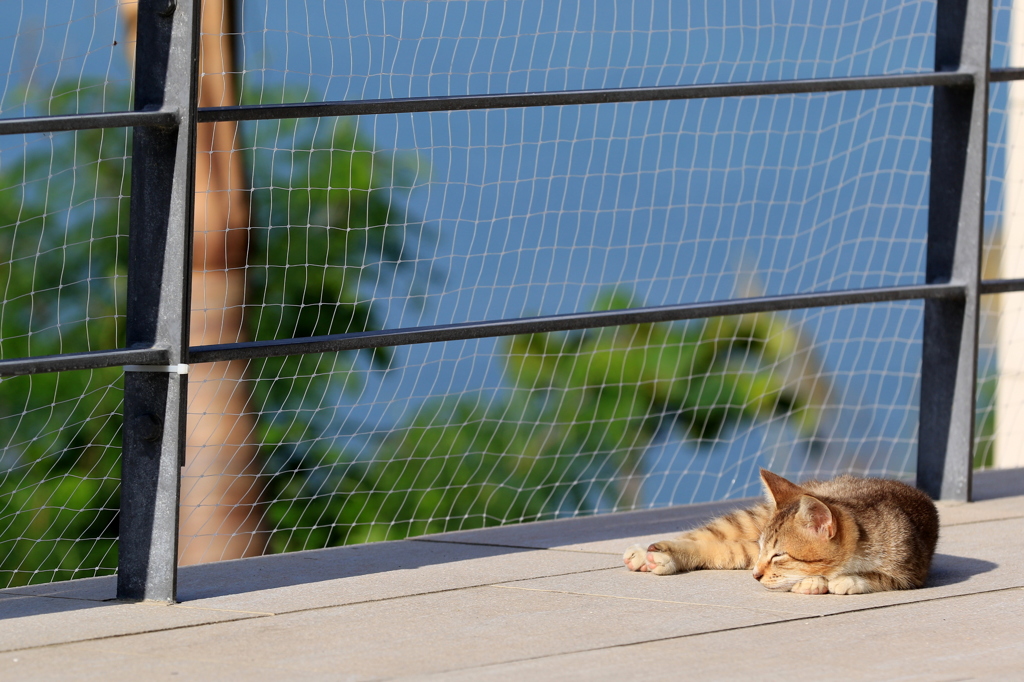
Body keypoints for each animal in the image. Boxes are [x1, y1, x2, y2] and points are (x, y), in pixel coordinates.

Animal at [618, 466, 937, 589]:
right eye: (768, 552)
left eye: (779, 555)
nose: (756, 574)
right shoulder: (753, 550)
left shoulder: (911, 570)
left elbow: (881, 577)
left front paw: (846, 580)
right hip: (746, 523)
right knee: (707, 538)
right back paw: (648, 553)